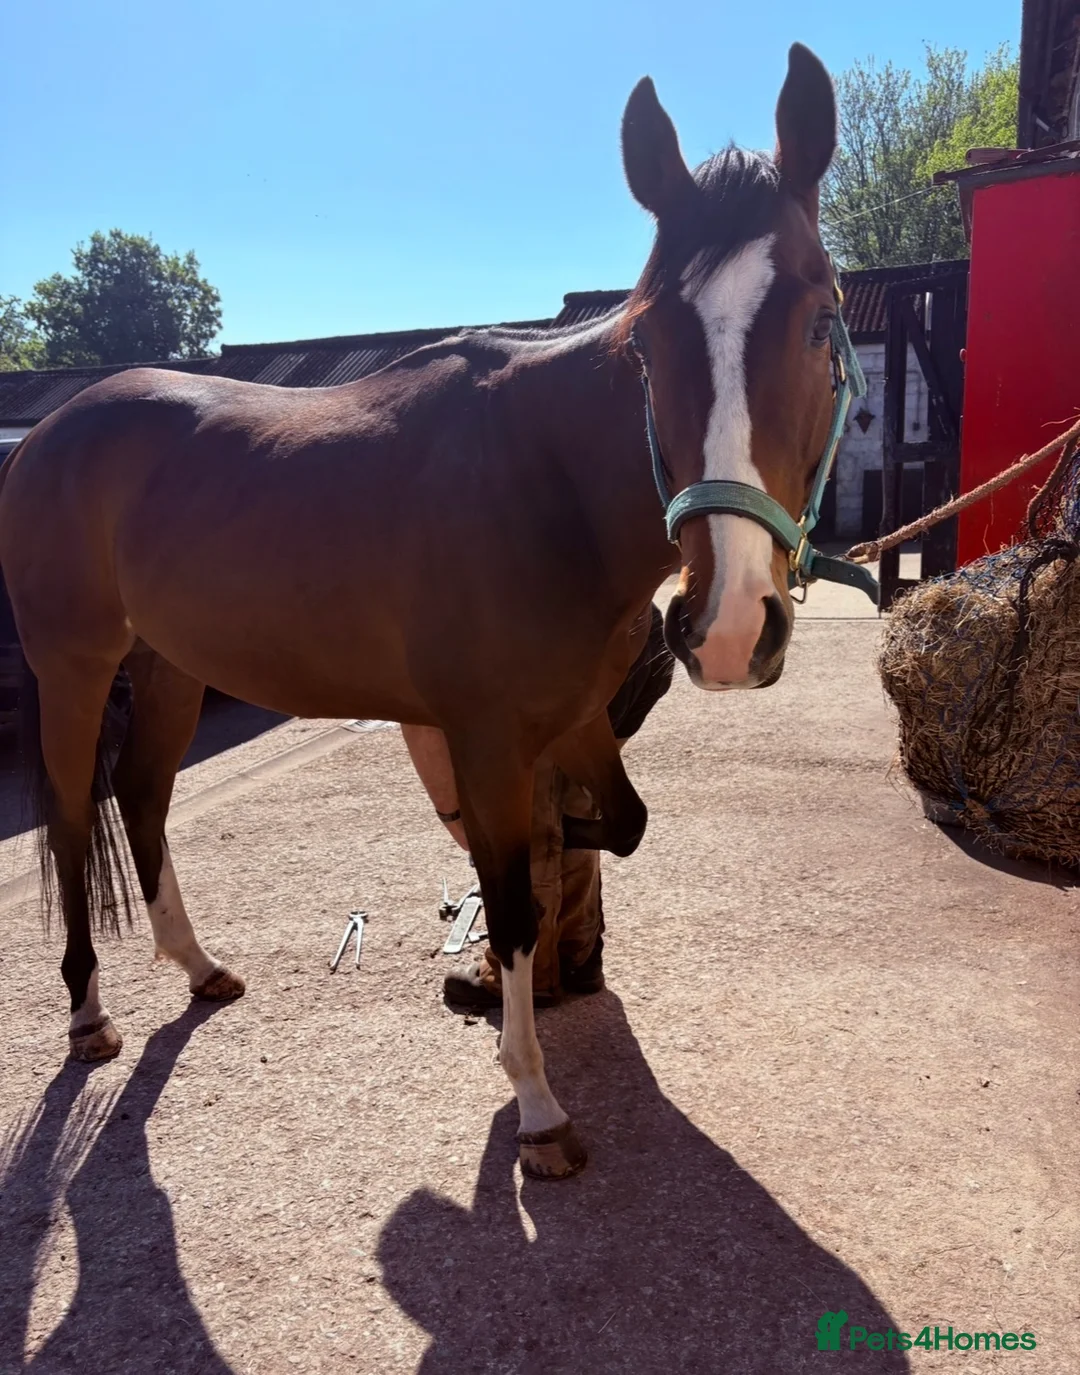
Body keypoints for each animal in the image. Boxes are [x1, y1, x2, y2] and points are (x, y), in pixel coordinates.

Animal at [0, 44, 854, 1180]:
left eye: (819, 317)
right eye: (647, 341)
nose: (724, 628)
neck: (541, 482)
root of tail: (49, 435)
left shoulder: (572, 720)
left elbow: (610, 829)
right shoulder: (488, 741)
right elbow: (514, 892)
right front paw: (535, 1102)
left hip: (171, 665)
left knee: (140, 796)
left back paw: (198, 965)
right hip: (77, 665)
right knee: (68, 812)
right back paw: (89, 1014)